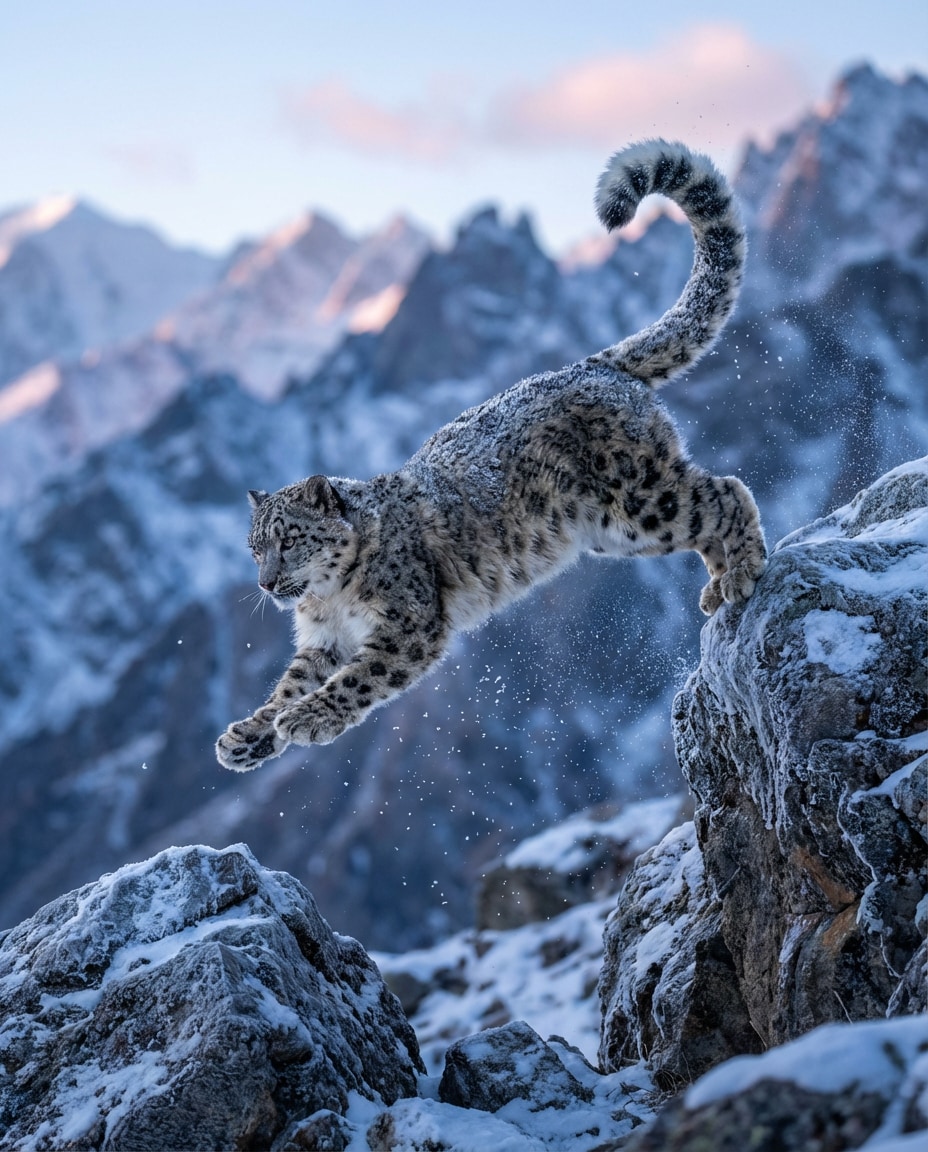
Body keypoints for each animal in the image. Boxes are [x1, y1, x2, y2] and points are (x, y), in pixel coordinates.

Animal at [216, 138, 766, 772]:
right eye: (256, 547)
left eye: (290, 539)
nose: (265, 584)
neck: (328, 601)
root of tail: (593, 366)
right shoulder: (323, 641)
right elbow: (292, 681)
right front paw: (249, 735)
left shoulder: (407, 624)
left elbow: (357, 679)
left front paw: (307, 719)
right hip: (617, 531)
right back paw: (717, 585)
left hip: (640, 500)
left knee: (726, 492)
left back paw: (743, 573)